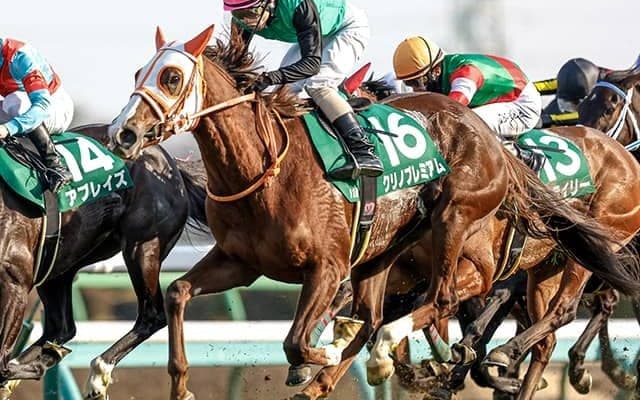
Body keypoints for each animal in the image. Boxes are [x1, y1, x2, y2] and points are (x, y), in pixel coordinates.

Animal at [0, 123, 208, 400]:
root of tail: (170, 163)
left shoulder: (15, 282)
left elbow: (1, 361)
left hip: (142, 248)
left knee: (152, 314)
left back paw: (96, 374)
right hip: (59, 263)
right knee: (62, 328)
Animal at [106, 25, 638, 400]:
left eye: (171, 76)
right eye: (136, 75)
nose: (123, 134)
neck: (264, 169)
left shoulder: (328, 266)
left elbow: (299, 340)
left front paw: (325, 355)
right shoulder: (243, 262)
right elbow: (178, 293)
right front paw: (181, 384)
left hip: (469, 223)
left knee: (449, 301)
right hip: (463, 260)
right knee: (392, 316)